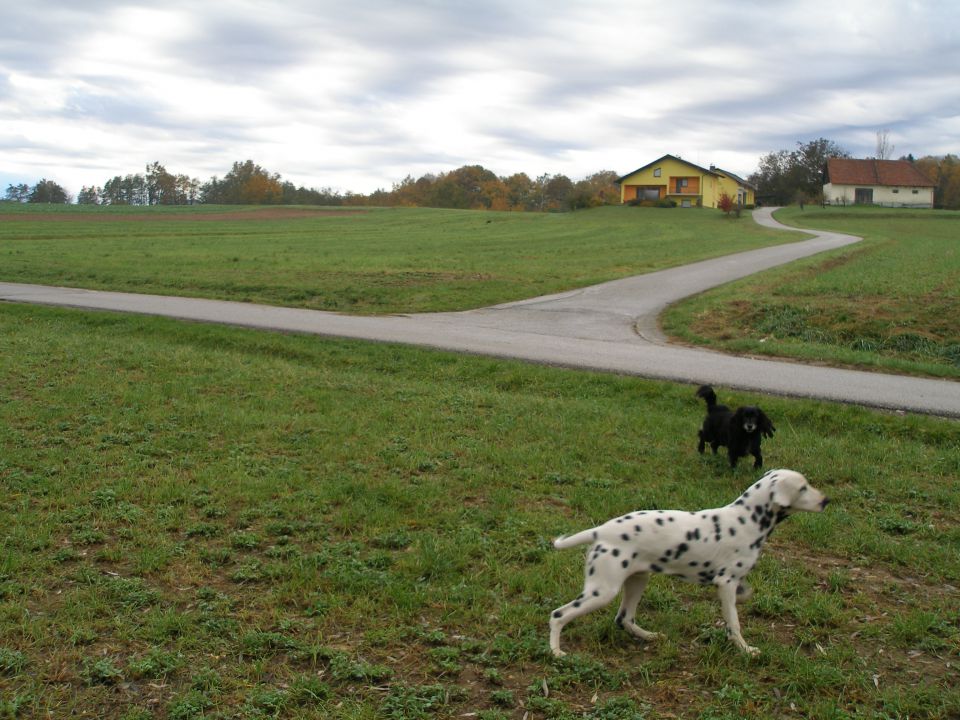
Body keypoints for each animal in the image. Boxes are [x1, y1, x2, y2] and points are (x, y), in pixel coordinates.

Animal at [552, 470, 828, 656]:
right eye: (803, 488)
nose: (826, 501)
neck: (747, 519)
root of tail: (601, 531)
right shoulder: (726, 583)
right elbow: (734, 623)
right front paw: (744, 649)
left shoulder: (733, 583)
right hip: (603, 592)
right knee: (558, 615)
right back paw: (556, 652)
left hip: (638, 581)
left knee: (624, 619)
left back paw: (649, 636)